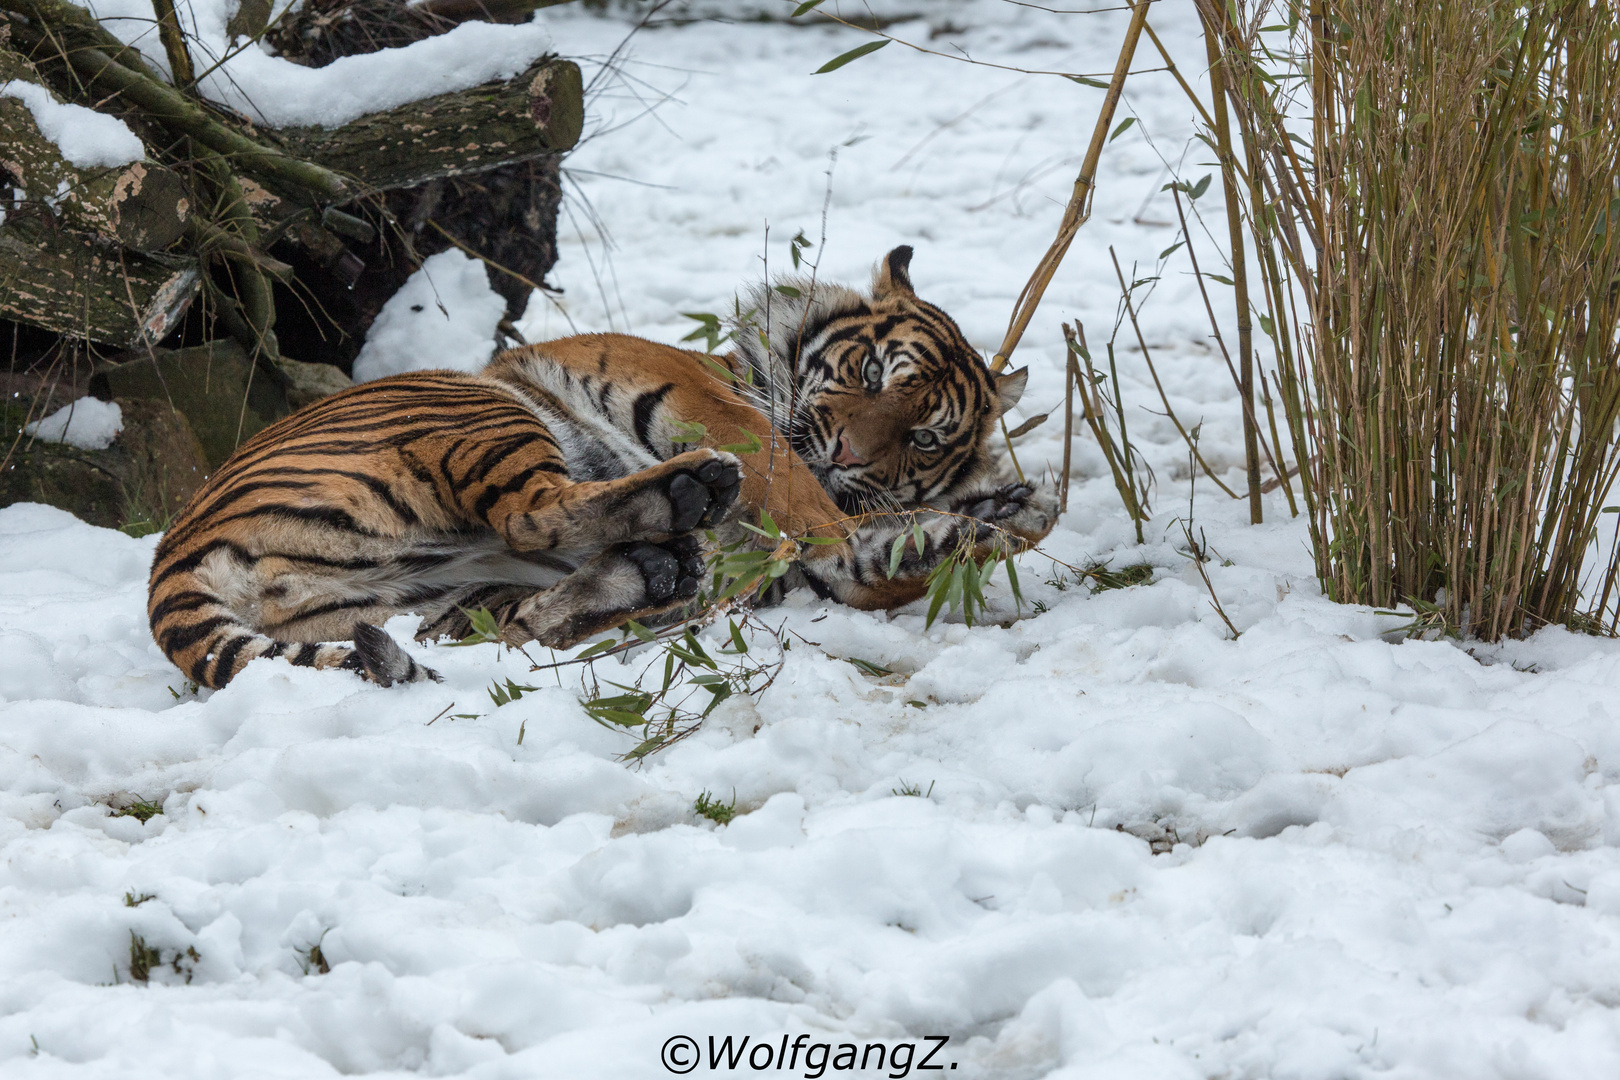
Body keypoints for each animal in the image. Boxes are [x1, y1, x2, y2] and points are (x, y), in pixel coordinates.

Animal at [149, 247, 1062, 689]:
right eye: (872, 375)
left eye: (925, 439)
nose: (849, 451)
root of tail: (173, 552)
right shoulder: (708, 401)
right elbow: (810, 507)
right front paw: (888, 536)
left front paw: (997, 518)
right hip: (475, 409)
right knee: (536, 512)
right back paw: (689, 498)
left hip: (428, 594)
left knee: (517, 620)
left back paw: (654, 570)